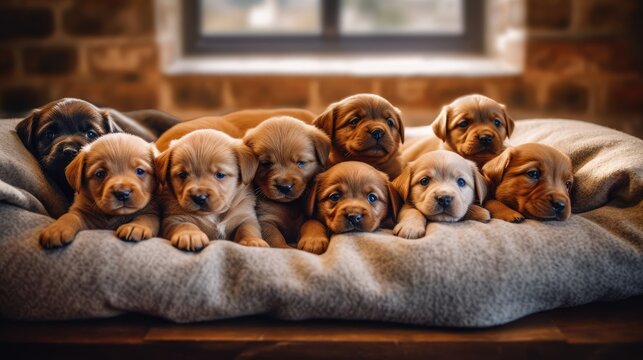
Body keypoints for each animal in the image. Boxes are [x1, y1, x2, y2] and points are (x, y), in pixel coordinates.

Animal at [243, 116, 332, 249]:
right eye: (266, 163)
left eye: (301, 162)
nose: (284, 187)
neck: (288, 206)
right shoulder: (265, 219)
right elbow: (274, 236)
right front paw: (284, 247)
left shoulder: (308, 215)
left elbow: (312, 222)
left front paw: (313, 240)